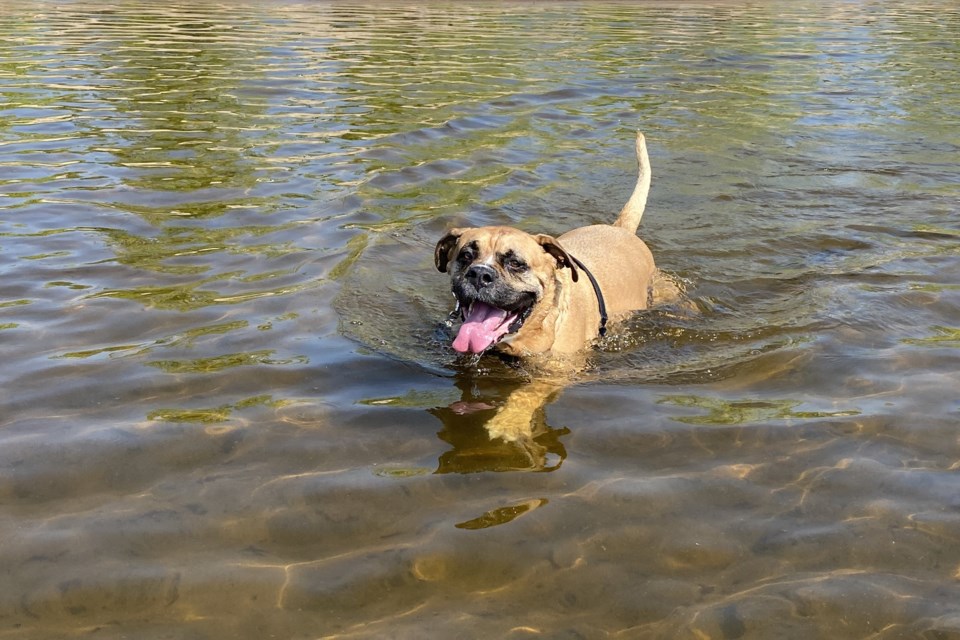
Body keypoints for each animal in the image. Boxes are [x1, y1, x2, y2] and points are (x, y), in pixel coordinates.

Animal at [434, 132, 660, 448]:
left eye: (516, 263)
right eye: (466, 255)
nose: (480, 273)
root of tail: (621, 228)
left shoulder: (558, 374)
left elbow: (527, 392)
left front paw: (509, 421)